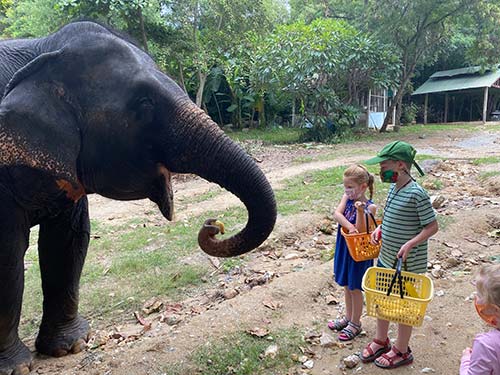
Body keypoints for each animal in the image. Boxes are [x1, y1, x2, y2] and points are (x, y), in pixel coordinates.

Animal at [0, 21, 278, 375]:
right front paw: (15, 367)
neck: (44, 48)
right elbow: (6, 252)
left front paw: (70, 347)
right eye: (144, 103)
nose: (214, 225)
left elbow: (68, 240)